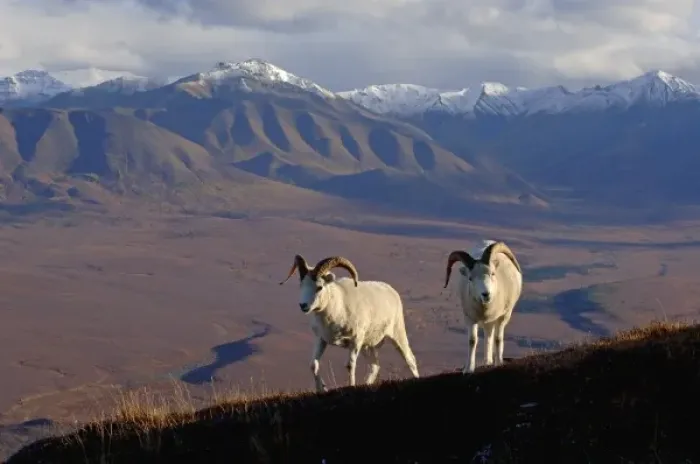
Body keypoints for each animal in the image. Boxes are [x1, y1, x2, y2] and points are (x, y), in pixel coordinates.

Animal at [279, 254, 420, 392]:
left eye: (319, 287)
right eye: (302, 285)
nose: (303, 305)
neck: (337, 310)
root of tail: (391, 291)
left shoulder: (355, 341)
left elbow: (350, 366)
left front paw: (351, 386)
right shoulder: (321, 340)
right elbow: (313, 365)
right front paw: (322, 389)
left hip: (397, 335)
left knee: (410, 360)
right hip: (367, 346)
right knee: (375, 366)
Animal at [443, 240, 523, 374]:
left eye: (492, 273)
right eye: (470, 278)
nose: (486, 294)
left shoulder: (503, 317)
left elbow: (498, 339)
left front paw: (499, 364)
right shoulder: (470, 318)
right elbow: (472, 341)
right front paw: (469, 369)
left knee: (491, 336)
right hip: (487, 323)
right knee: (488, 335)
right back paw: (487, 362)